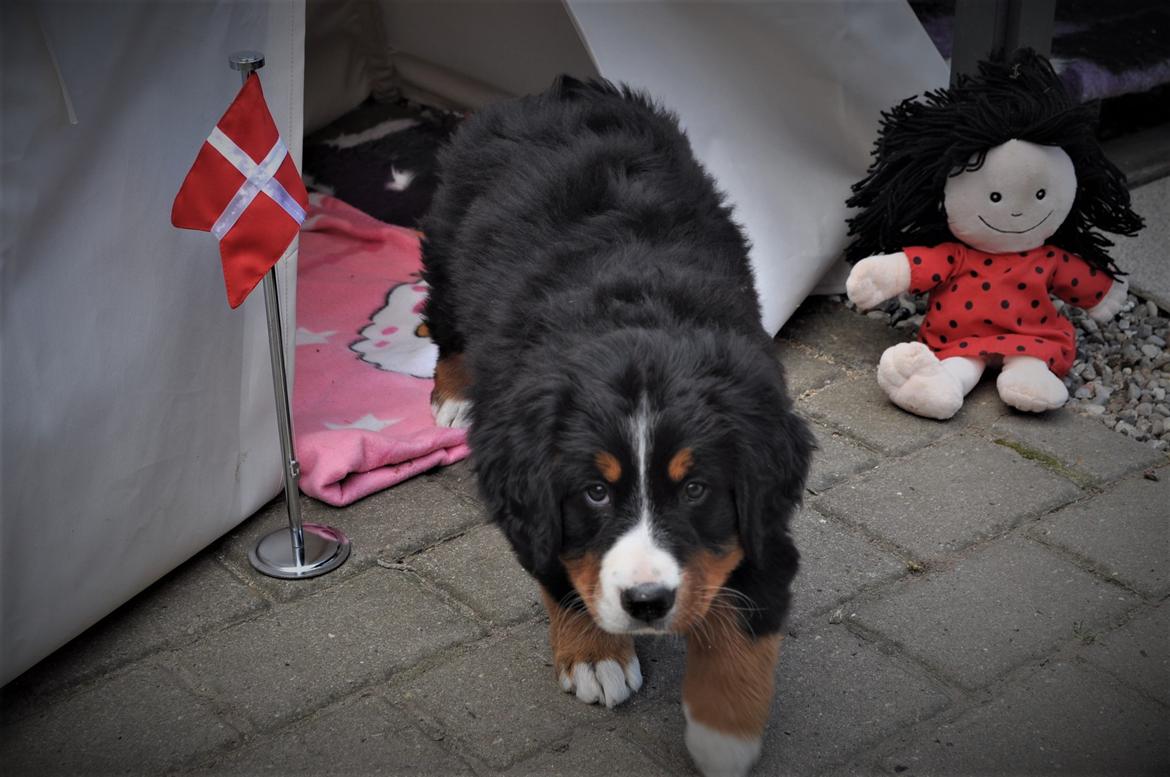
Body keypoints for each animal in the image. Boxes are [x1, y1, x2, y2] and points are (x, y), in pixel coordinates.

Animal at [421, 77, 814, 777]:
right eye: (596, 492)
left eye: (695, 489)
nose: (648, 604)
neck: (634, 325)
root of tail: (555, 91)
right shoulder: (534, 507)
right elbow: (562, 569)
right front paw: (595, 656)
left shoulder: (760, 520)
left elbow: (743, 625)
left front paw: (723, 738)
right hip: (444, 243)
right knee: (443, 319)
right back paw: (454, 395)